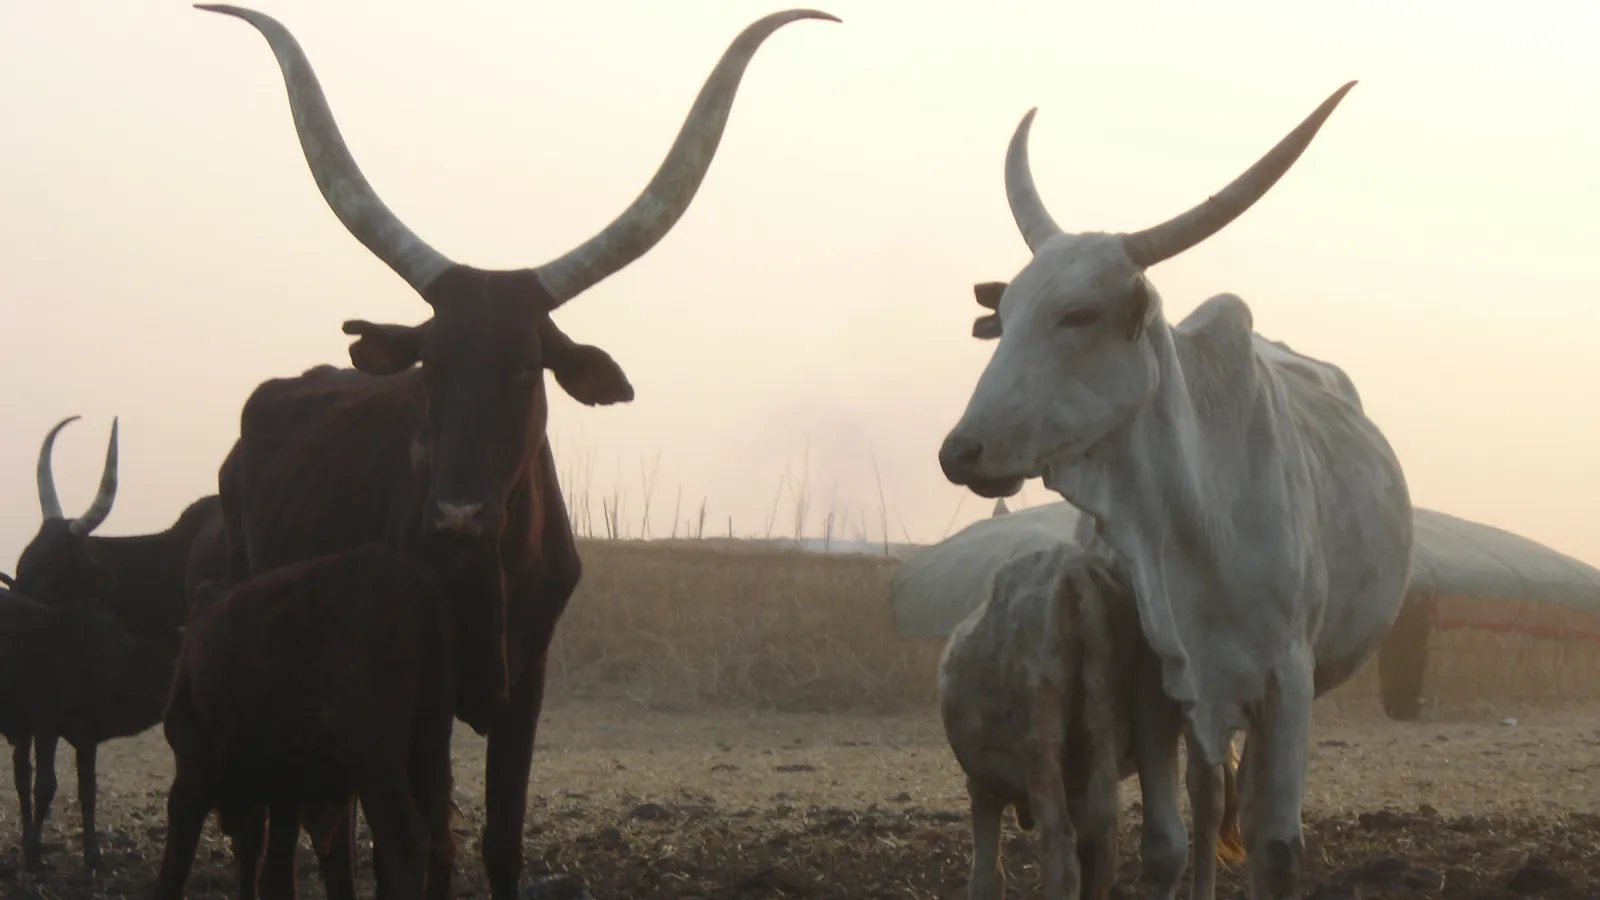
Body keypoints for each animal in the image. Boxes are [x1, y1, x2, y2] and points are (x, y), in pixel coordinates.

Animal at [0, 589, 180, 874]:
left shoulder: (87, 739)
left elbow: (88, 791)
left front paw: (93, 855)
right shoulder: (46, 726)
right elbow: (45, 786)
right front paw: (33, 854)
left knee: (21, 772)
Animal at [151, 545, 456, 900]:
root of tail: (416, 584)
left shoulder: (193, 773)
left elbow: (176, 864)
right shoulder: (290, 792)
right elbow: (281, 868)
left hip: (377, 763)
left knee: (405, 845)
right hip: (430, 741)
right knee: (440, 837)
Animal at [196, 5, 839, 897]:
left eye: (526, 365)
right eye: (433, 362)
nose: (457, 516)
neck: (489, 567)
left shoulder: (529, 680)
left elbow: (501, 837)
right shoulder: (423, 701)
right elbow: (429, 843)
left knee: (325, 822)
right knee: (281, 825)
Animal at [940, 543, 1243, 900]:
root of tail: (1074, 573)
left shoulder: (984, 790)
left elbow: (986, 878)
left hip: (1040, 748)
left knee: (1060, 849)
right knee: (1203, 797)